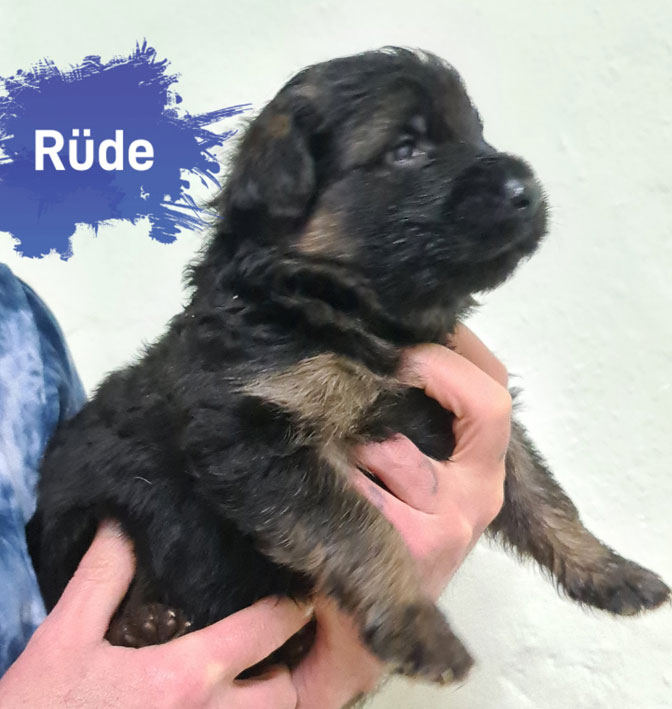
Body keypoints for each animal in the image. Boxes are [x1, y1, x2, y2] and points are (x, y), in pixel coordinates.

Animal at [28, 47, 670, 685]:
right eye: (406, 149)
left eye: (477, 135)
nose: (527, 190)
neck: (352, 311)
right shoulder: (256, 440)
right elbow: (361, 528)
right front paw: (420, 627)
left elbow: (543, 491)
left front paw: (610, 570)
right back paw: (143, 625)